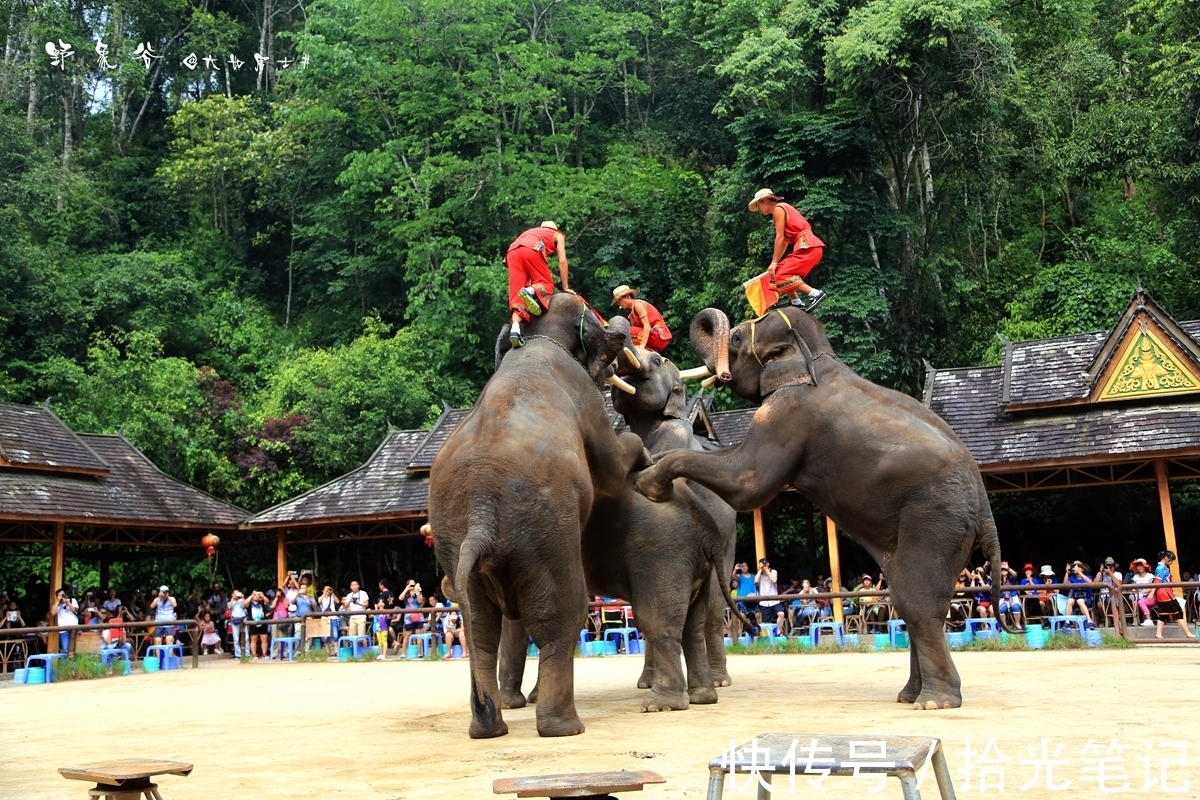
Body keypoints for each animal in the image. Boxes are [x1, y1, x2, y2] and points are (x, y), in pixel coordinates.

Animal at [429, 293, 648, 738]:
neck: (533, 337)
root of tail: (480, 513)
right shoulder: (586, 396)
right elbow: (611, 468)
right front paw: (642, 452)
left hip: (452, 541)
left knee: (480, 627)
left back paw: (488, 728)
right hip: (545, 533)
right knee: (560, 615)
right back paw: (564, 728)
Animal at [499, 347, 739, 714]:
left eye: (657, 360)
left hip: (706, 546)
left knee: (696, 613)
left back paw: (686, 693)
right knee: (680, 619)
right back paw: (676, 690)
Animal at [633, 307, 1008, 714]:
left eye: (735, 338)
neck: (816, 354)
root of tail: (985, 511)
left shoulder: (787, 413)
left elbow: (747, 483)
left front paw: (648, 481)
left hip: (935, 520)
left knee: (917, 601)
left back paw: (933, 703)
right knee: (909, 601)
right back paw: (909, 696)